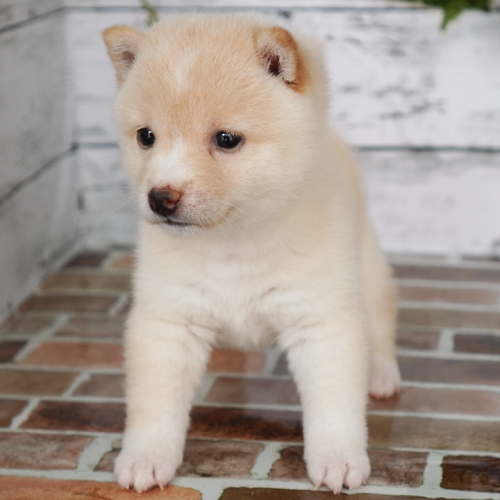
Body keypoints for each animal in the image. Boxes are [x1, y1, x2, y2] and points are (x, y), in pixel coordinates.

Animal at [103, 13, 400, 494]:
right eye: (146, 136)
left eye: (227, 139)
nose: (160, 198)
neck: (234, 242)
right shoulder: (168, 322)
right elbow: (155, 406)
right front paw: (146, 458)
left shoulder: (320, 320)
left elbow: (334, 405)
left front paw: (338, 459)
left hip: (368, 272)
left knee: (380, 326)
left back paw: (382, 374)